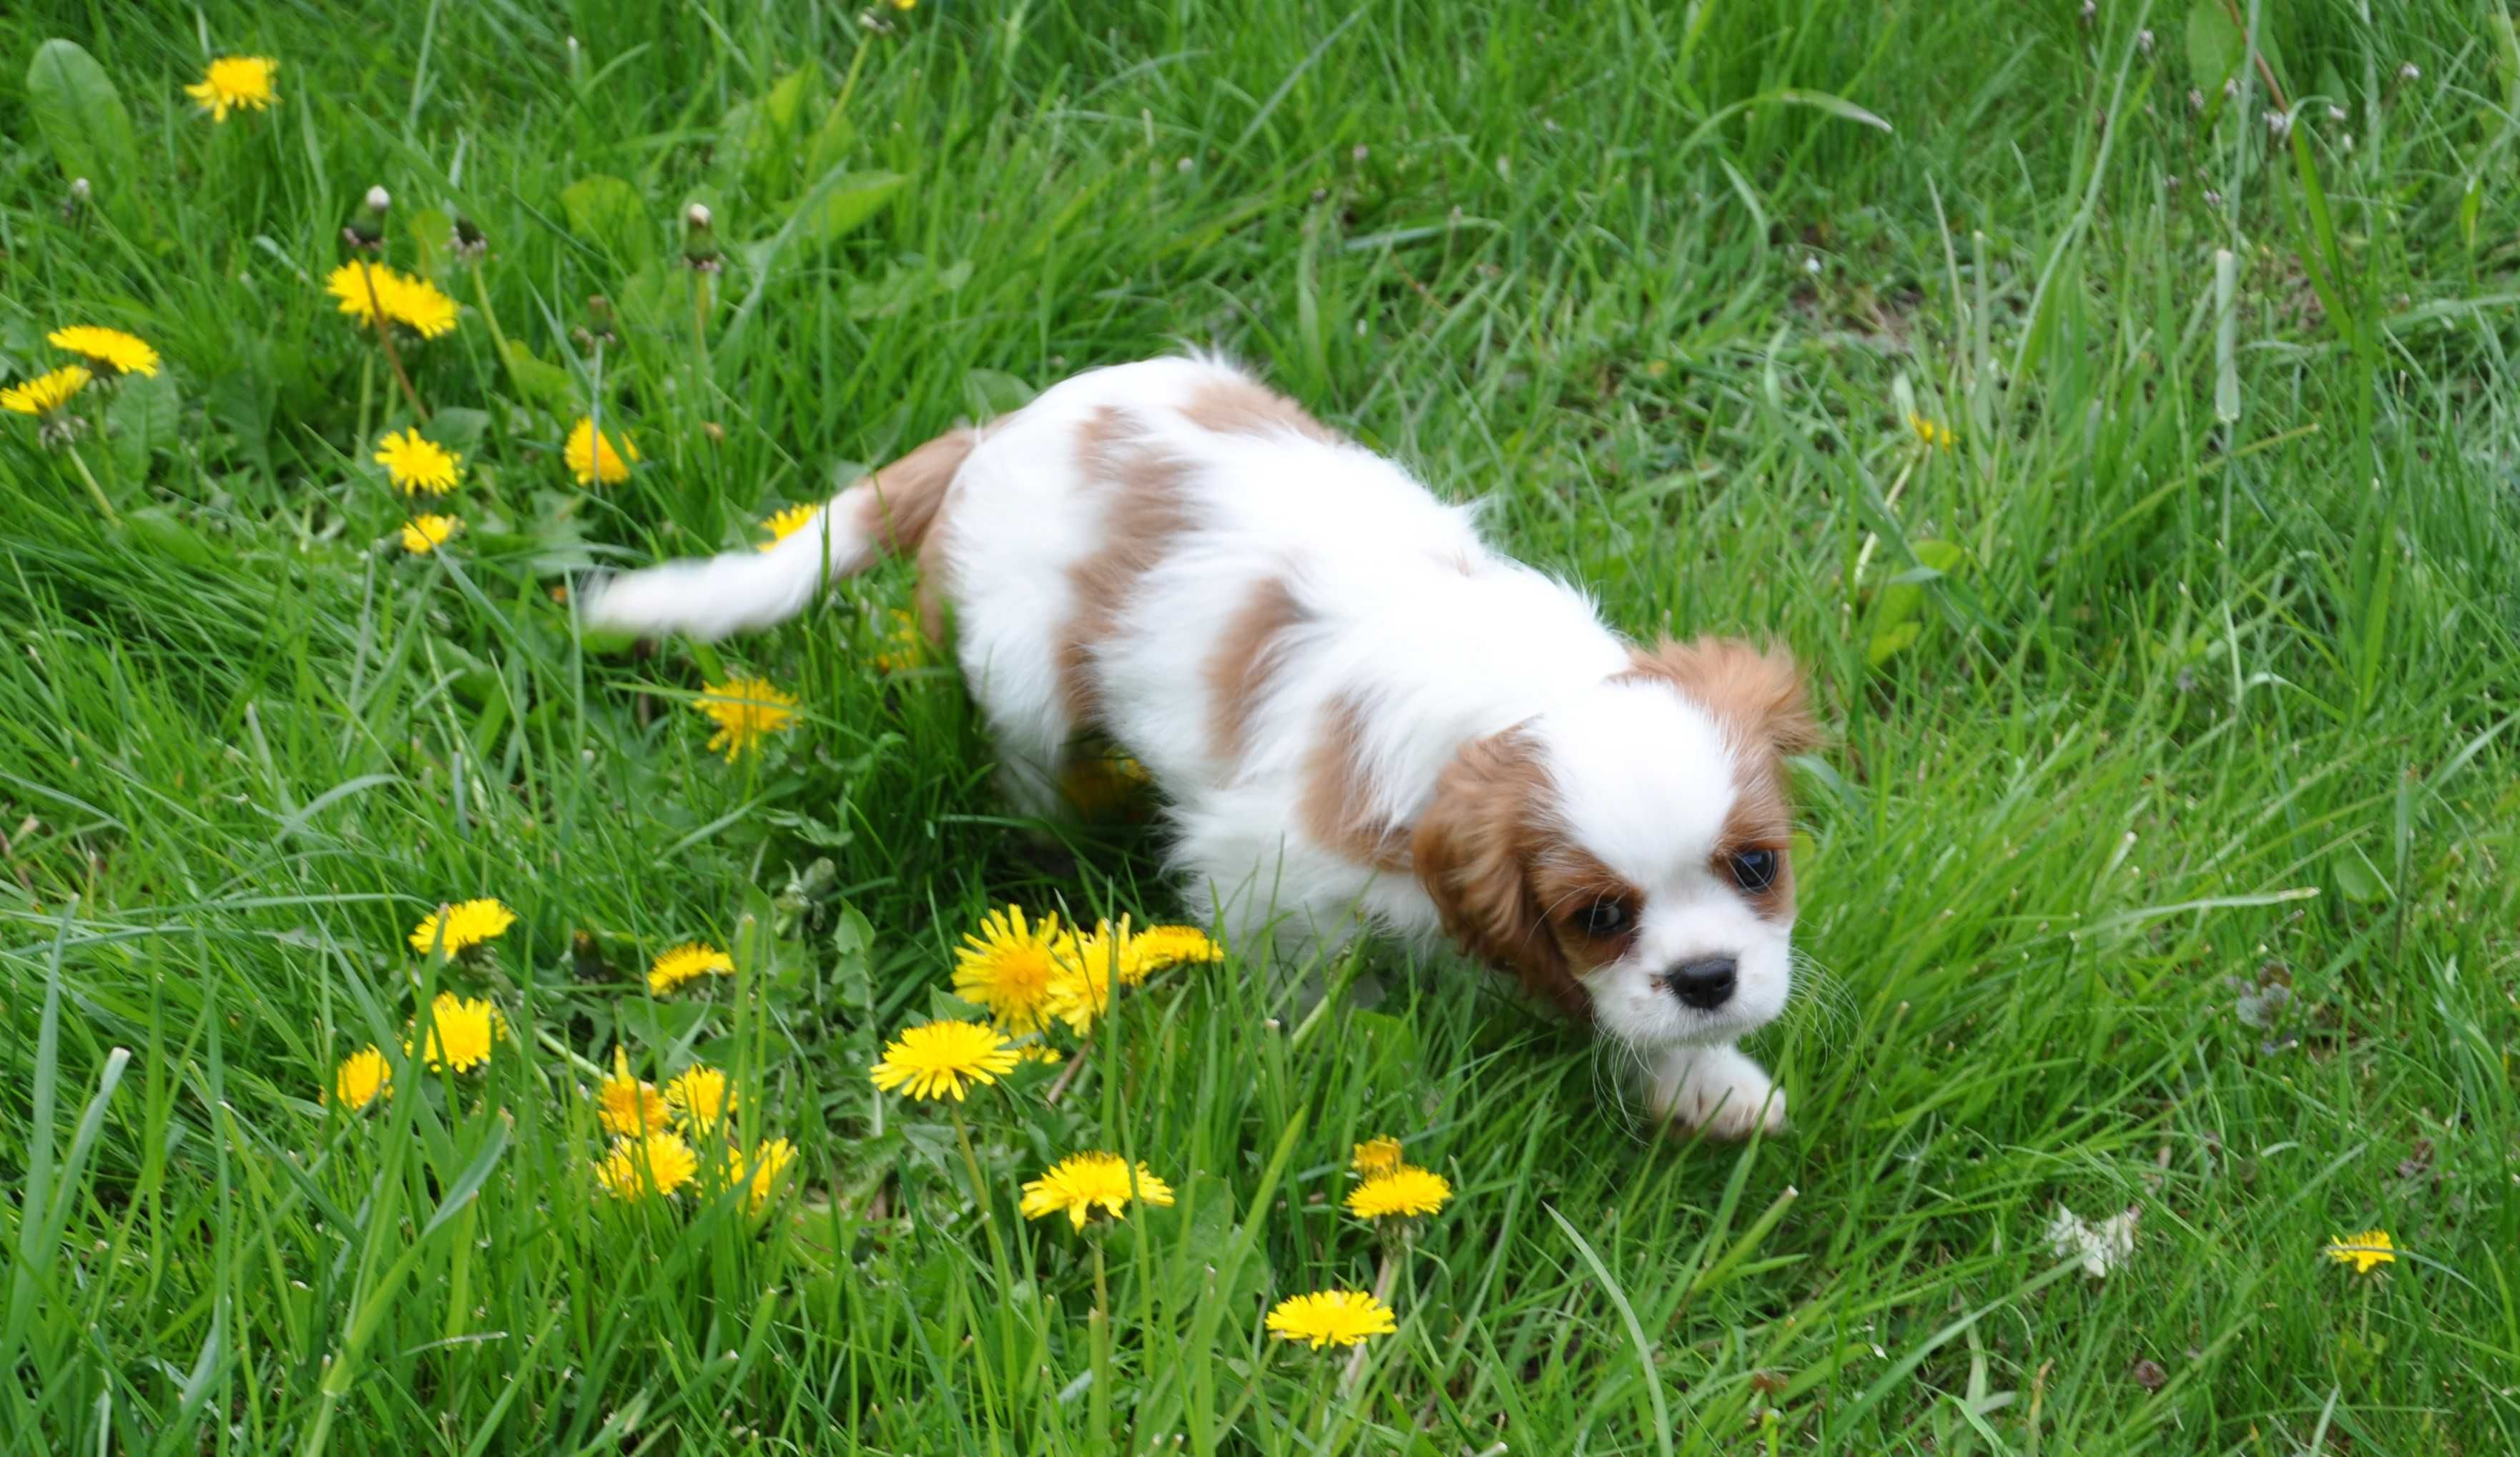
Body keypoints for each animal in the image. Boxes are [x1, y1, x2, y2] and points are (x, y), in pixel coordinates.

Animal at [589, 355, 1814, 1134]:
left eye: (1758, 865)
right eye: (1597, 915)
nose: (1707, 979)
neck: (1516, 693)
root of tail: (994, 436)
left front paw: (1704, 1082)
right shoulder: (1258, 865)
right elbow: (1304, 987)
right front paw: (1349, 1052)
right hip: (1021, 679)